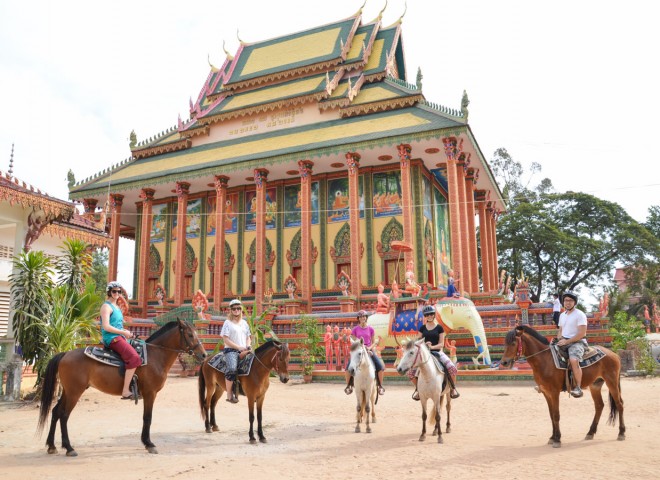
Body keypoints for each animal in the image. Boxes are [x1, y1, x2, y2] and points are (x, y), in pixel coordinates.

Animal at [36, 320, 206, 456]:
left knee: (55, 412)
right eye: (190, 335)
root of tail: (65, 354)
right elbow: (147, 418)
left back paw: (52, 446)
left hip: (68, 391)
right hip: (74, 392)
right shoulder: (150, 393)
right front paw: (149, 443)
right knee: (64, 415)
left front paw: (146, 442)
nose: (204, 355)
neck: (155, 355)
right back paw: (69, 448)